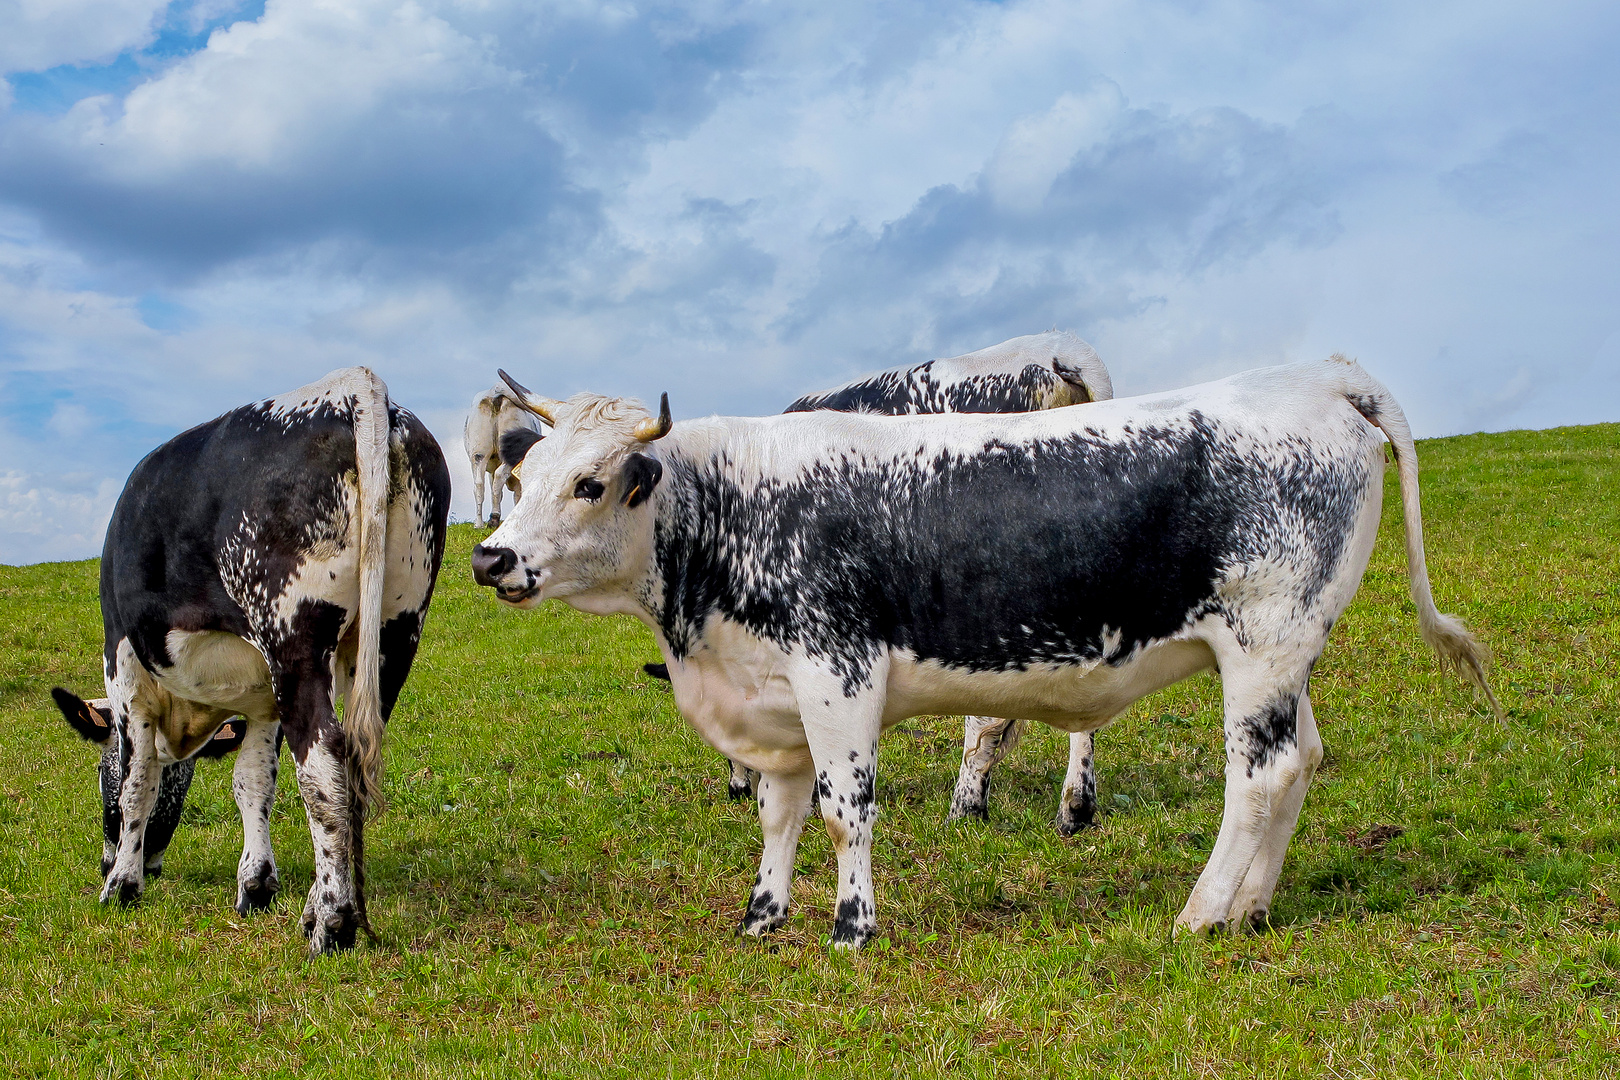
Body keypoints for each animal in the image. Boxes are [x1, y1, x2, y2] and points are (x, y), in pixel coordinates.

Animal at [52, 369, 450, 952]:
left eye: (98, 778)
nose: (116, 865)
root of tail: (352, 388)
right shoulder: (262, 701)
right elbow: (253, 782)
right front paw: (256, 885)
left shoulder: (123, 665)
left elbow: (137, 779)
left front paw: (121, 886)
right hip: (395, 629)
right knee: (350, 760)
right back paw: (323, 906)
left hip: (294, 636)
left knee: (323, 757)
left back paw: (332, 922)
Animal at [466, 386, 547, 524]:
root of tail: (495, 392)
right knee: (499, 477)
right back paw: (494, 518)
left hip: (478, 452)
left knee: (479, 484)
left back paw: (479, 523)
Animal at [476, 354, 1490, 945]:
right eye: (521, 475)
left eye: (591, 482)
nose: (491, 558)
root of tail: (1319, 377)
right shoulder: (775, 696)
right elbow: (779, 814)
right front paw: (763, 918)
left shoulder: (838, 671)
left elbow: (845, 811)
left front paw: (851, 927)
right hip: (1287, 653)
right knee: (1302, 760)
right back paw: (1252, 909)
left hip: (1263, 645)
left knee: (1260, 775)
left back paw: (1200, 914)